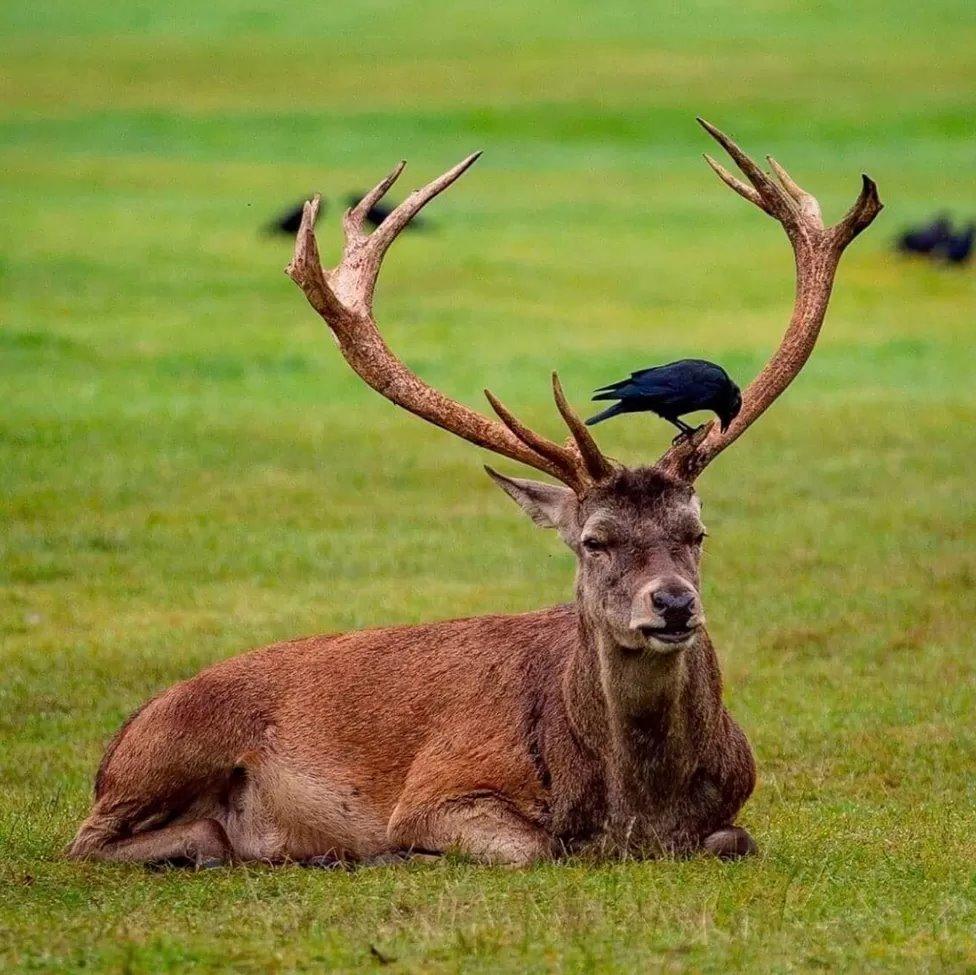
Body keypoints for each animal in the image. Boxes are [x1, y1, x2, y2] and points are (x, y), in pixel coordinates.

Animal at [65, 122, 880, 868]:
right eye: (595, 540)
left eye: (697, 531)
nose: (674, 604)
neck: (635, 811)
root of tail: (119, 737)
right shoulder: (441, 786)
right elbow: (537, 847)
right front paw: (400, 851)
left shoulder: (735, 804)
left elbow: (736, 839)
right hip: (166, 750)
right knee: (89, 841)